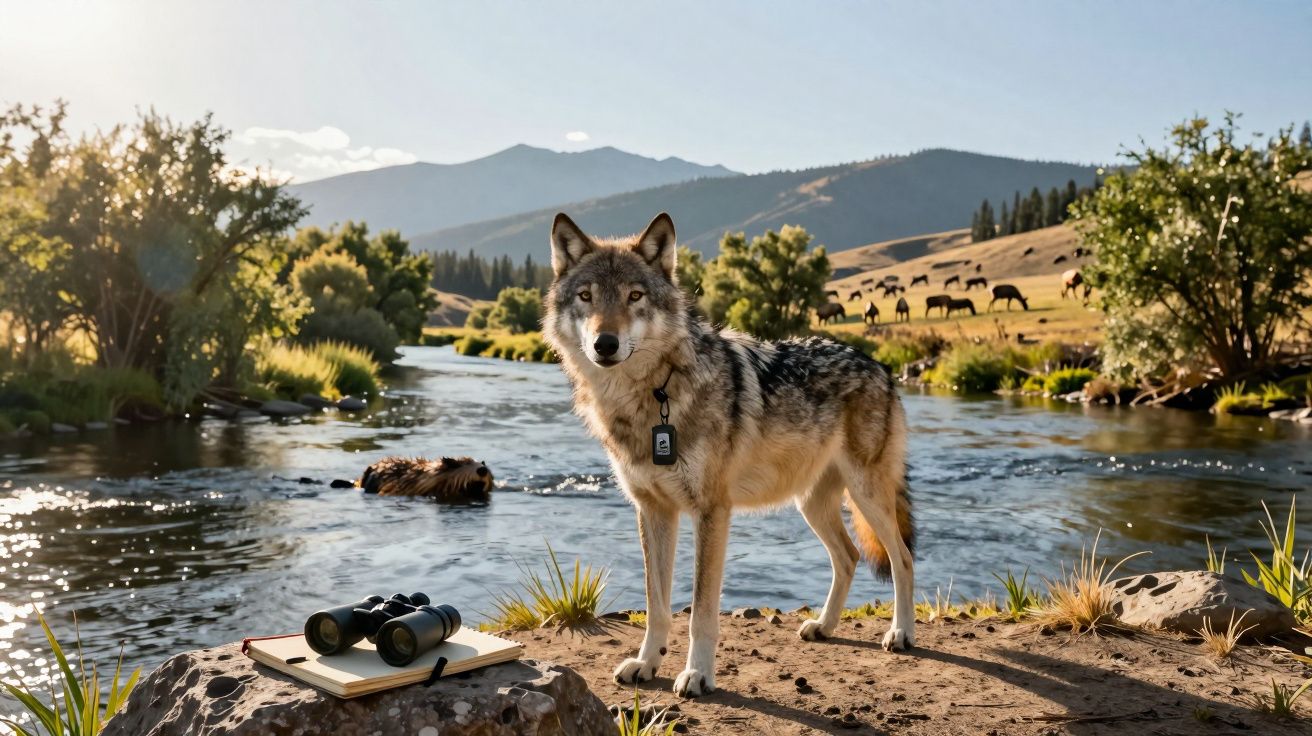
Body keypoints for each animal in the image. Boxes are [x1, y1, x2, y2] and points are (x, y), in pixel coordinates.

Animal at [542, 212, 915, 697]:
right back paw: (824, 626)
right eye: (586, 297)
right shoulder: (652, 511)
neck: (655, 394)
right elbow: (656, 605)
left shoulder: (711, 511)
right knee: (849, 557)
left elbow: (701, 611)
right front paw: (646, 663)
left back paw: (900, 633)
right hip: (812, 505)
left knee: (903, 559)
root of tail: (880, 365)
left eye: (634, 296)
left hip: (867, 497)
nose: (605, 343)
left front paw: (697, 674)